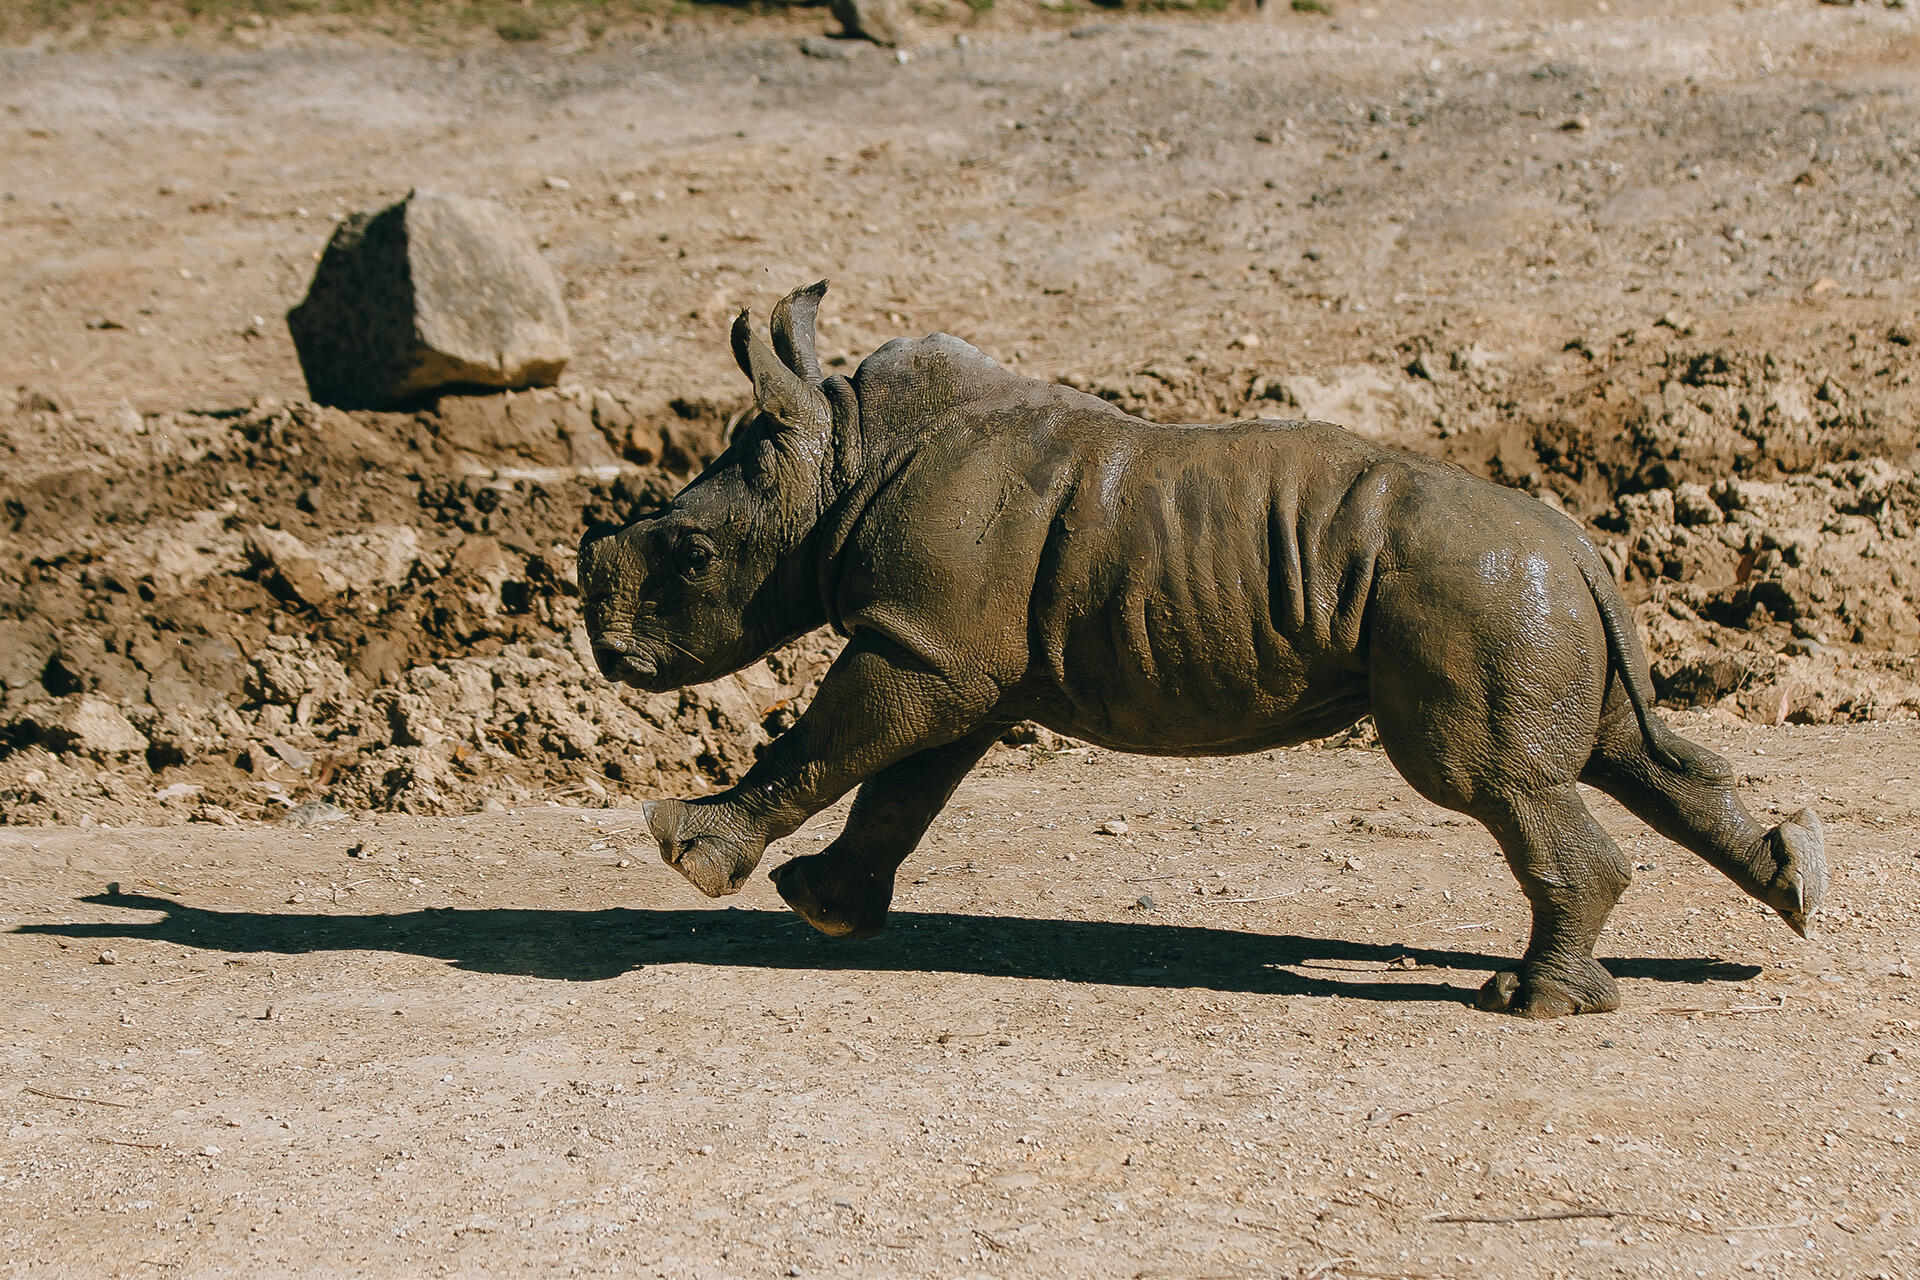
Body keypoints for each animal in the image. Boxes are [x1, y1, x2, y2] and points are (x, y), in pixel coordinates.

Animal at [572, 282, 1827, 1020]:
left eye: (686, 554)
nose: (602, 643)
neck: (839, 452)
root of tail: (1578, 542)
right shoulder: (948, 650)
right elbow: (899, 785)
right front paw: (823, 906)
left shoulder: (923, 643)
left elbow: (832, 741)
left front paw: (688, 850)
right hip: (1526, 597)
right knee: (1620, 752)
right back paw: (1793, 888)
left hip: (1473, 593)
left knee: (1492, 779)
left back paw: (1526, 1002)